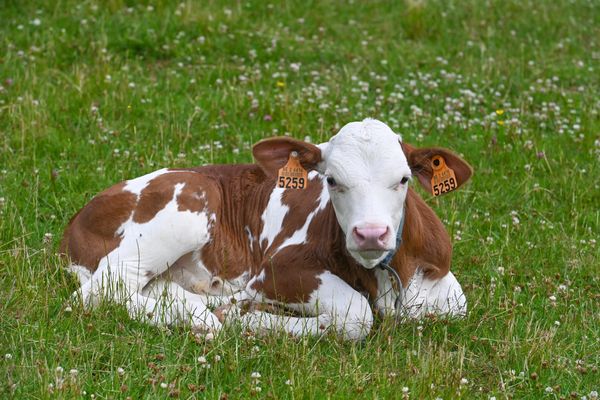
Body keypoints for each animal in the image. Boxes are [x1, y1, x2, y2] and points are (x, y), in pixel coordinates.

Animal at [61, 119, 474, 340]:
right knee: (101, 290)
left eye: (403, 179)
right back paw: (205, 319)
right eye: (332, 180)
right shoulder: (276, 269)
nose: (371, 233)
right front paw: (252, 318)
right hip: (190, 202)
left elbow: (452, 307)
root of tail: (76, 219)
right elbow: (356, 314)